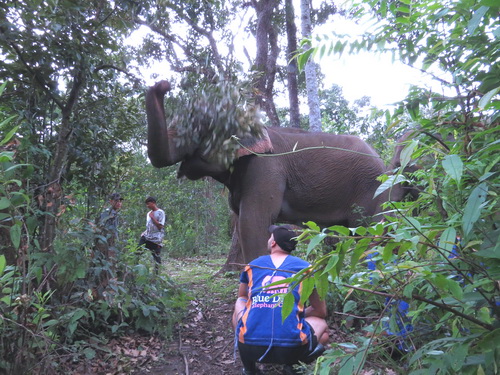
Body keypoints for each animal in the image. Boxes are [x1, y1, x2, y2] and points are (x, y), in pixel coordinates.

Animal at [146, 81, 414, 262]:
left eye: (199, 128)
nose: (162, 84)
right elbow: (243, 223)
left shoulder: (265, 168)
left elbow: (252, 222)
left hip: (372, 190)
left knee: (369, 231)